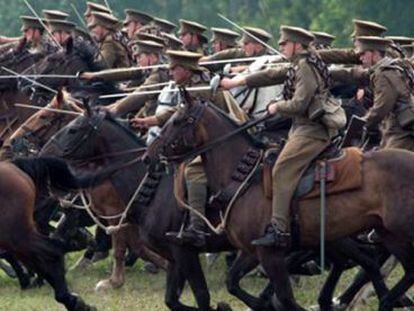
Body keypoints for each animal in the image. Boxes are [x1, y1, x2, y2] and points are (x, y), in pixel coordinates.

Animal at [143, 98, 414, 311]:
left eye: (178, 121)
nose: (149, 155)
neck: (243, 178)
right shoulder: (251, 251)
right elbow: (233, 282)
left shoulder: (270, 254)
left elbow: (284, 298)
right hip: (386, 234)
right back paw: (387, 301)